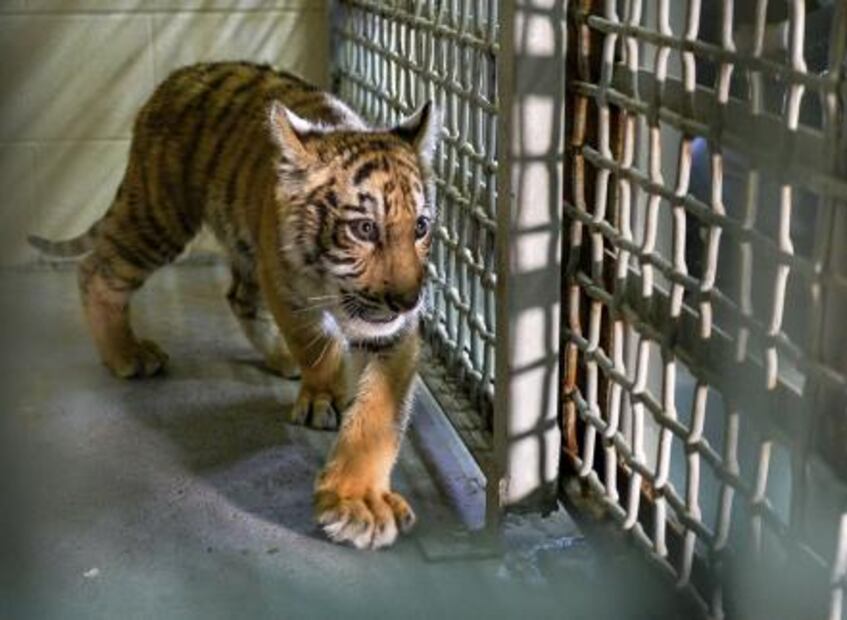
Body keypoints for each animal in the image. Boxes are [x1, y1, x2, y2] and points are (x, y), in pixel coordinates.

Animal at [28, 61, 440, 550]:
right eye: (363, 229)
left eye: (420, 227)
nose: (409, 300)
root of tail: (178, 76)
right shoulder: (285, 285)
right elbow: (316, 343)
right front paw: (324, 395)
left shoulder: (393, 333)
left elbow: (377, 413)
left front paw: (357, 503)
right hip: (160, 216)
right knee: (96, 270)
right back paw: (126, 354)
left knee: (238, 297)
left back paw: (278, 357)